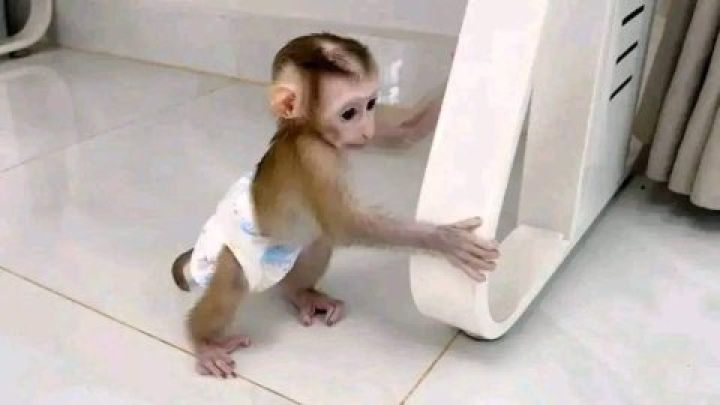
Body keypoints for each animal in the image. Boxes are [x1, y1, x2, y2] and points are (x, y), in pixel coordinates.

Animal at [171, 33, 499, 378]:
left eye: (370, 105)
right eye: (348, 113)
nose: (366, 130)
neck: (308, 131)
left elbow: (406, 130)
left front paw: (453, 64)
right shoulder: (316, 158)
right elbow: (345, 225)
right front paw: (443, 240)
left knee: (317, 243)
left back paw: (300, 294)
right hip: (228, 249)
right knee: (233, 279)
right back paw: (203, 342)